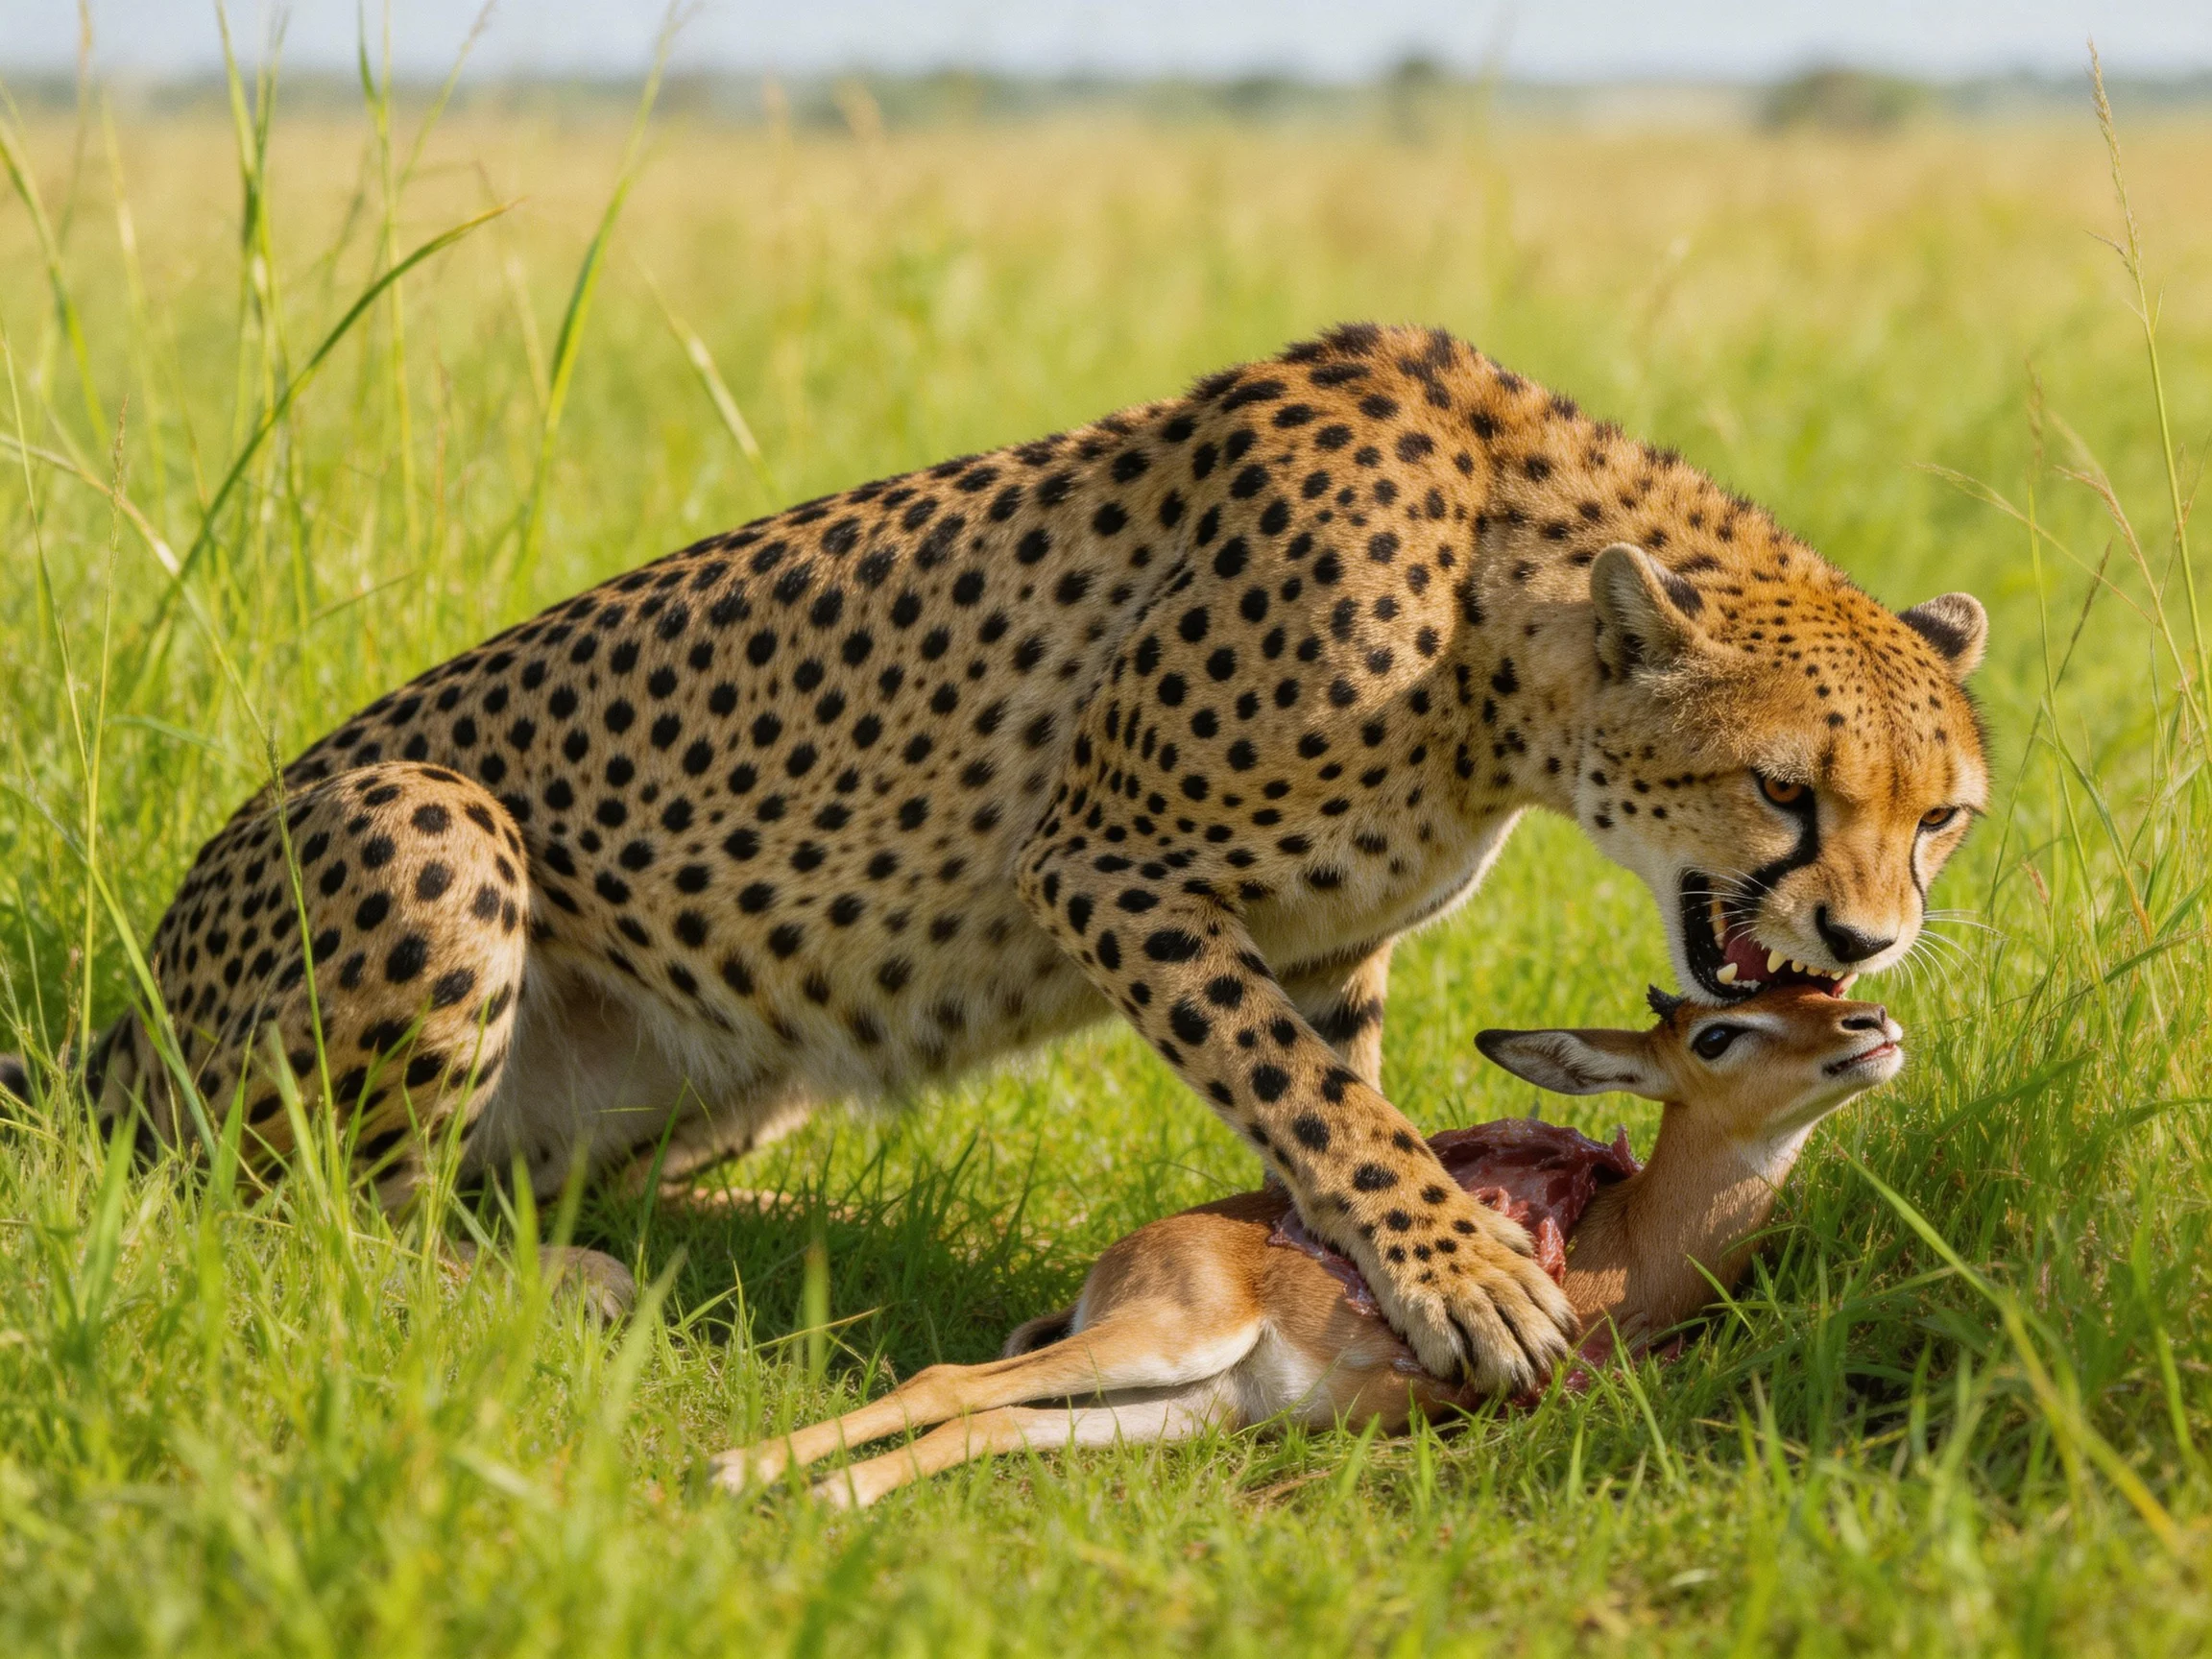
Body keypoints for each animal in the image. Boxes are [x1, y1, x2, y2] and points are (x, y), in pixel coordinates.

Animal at [30, 323, 1990, 1392]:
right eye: (1783, 791)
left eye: (1940, 815)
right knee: (276, 1210)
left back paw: (736, 1232)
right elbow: (1325, 1106)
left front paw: (1366, 1273)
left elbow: (1327, 1110)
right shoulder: (1112, 864)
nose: (1867, 943)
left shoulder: (1323, 940)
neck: (1497, 641)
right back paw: (556, 1281)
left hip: (730, 1061)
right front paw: (1468, 1282)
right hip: (423, 825)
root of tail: (121, 1018)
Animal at [715, 983, 1902, 1507]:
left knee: (993, 1418)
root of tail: (1124, 1256)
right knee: (948, 1378)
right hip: (1171, 1339)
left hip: (1189, 1407)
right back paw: (742, 1472)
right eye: (1718, 1032)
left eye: (1818, 988)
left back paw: (820, 1494)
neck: (1627, 1252)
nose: (1873, 1029)